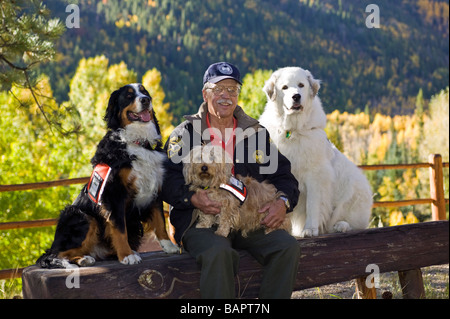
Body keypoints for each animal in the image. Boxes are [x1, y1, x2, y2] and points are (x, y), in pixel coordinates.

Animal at [37, 84, 178, 268]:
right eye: (129, 96)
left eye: (144, 92)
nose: (146, 100)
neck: (137, 142)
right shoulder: (114, 193)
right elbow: (119, 228)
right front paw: (126, 255)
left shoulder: (153, 186)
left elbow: (160, 221)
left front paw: (168, 246)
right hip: (82, 216)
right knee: (55, 254)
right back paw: (82, 259)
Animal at [258, 67, 370, 238]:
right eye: (284, 87)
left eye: (301, 85)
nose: (296, 96)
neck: (293, 130)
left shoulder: (315, 176)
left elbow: (312, 204)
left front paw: (310, 229)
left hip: (352, 189)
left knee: (353, 223)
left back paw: (340, 226)